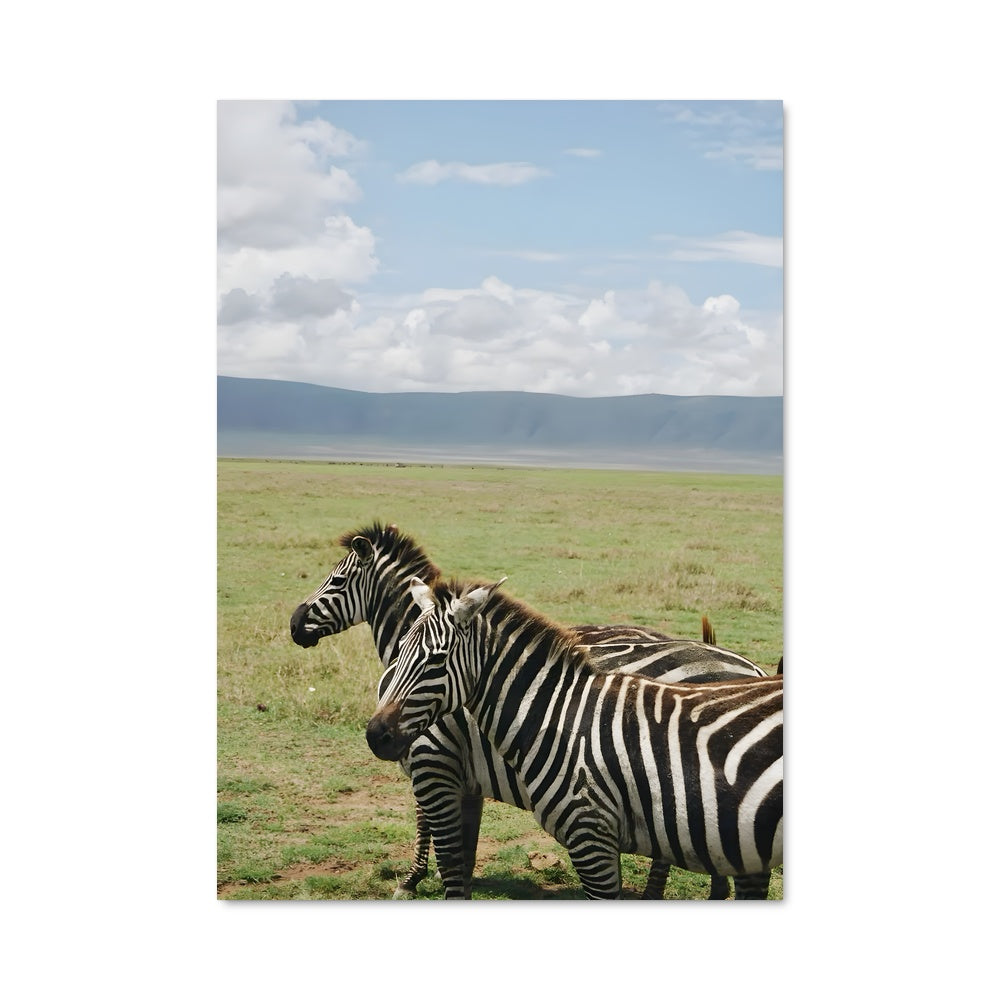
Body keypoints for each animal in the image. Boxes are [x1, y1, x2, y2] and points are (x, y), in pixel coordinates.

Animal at [290, 523, 770, 899]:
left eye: (335, 582)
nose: (294, 624)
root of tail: (748, 664)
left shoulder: (432, 759)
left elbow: (428, 824)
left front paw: (410, 881)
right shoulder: (464, 777)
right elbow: (464, 848)